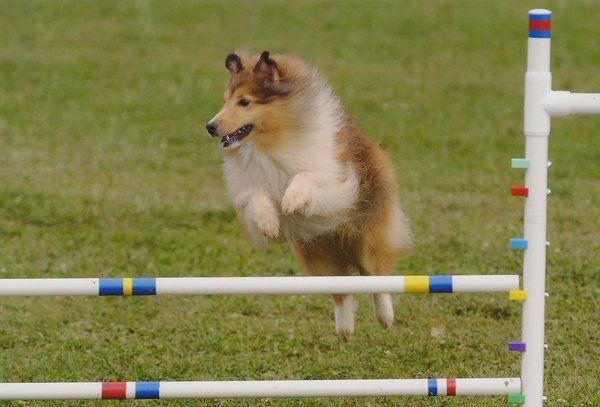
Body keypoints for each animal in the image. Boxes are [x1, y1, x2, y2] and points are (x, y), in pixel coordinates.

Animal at [206, 50, 411, 341]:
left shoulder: (334, 181)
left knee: (377, 275)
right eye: (225, 101)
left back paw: (385, 317)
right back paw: (345, 330)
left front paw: (292, 201)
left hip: (367, 236)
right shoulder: (248, 191)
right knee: (342, 292)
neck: (270, 143)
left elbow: (304, 177)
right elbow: (257, 199)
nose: (210, 127)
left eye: (244, 102)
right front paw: (269, 223)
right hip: (316, 253)